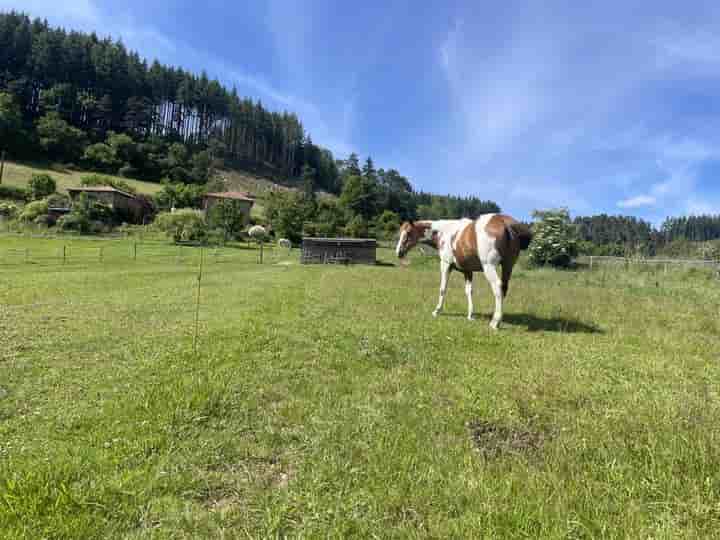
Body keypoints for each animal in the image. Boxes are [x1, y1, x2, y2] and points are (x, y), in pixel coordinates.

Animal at [396, 214, 532, 330]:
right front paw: (470, 315)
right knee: (503, 288)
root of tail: (505, 223)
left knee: (497, 287)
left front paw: (437, 310)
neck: (444, 232)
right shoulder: (468, 271)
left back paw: (495, 322)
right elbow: (469, 291)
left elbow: (443, 288)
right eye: (400, 233)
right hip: (508, 266)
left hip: (489, 267)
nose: (399, 252)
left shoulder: (445, 264)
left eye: (408, 232)